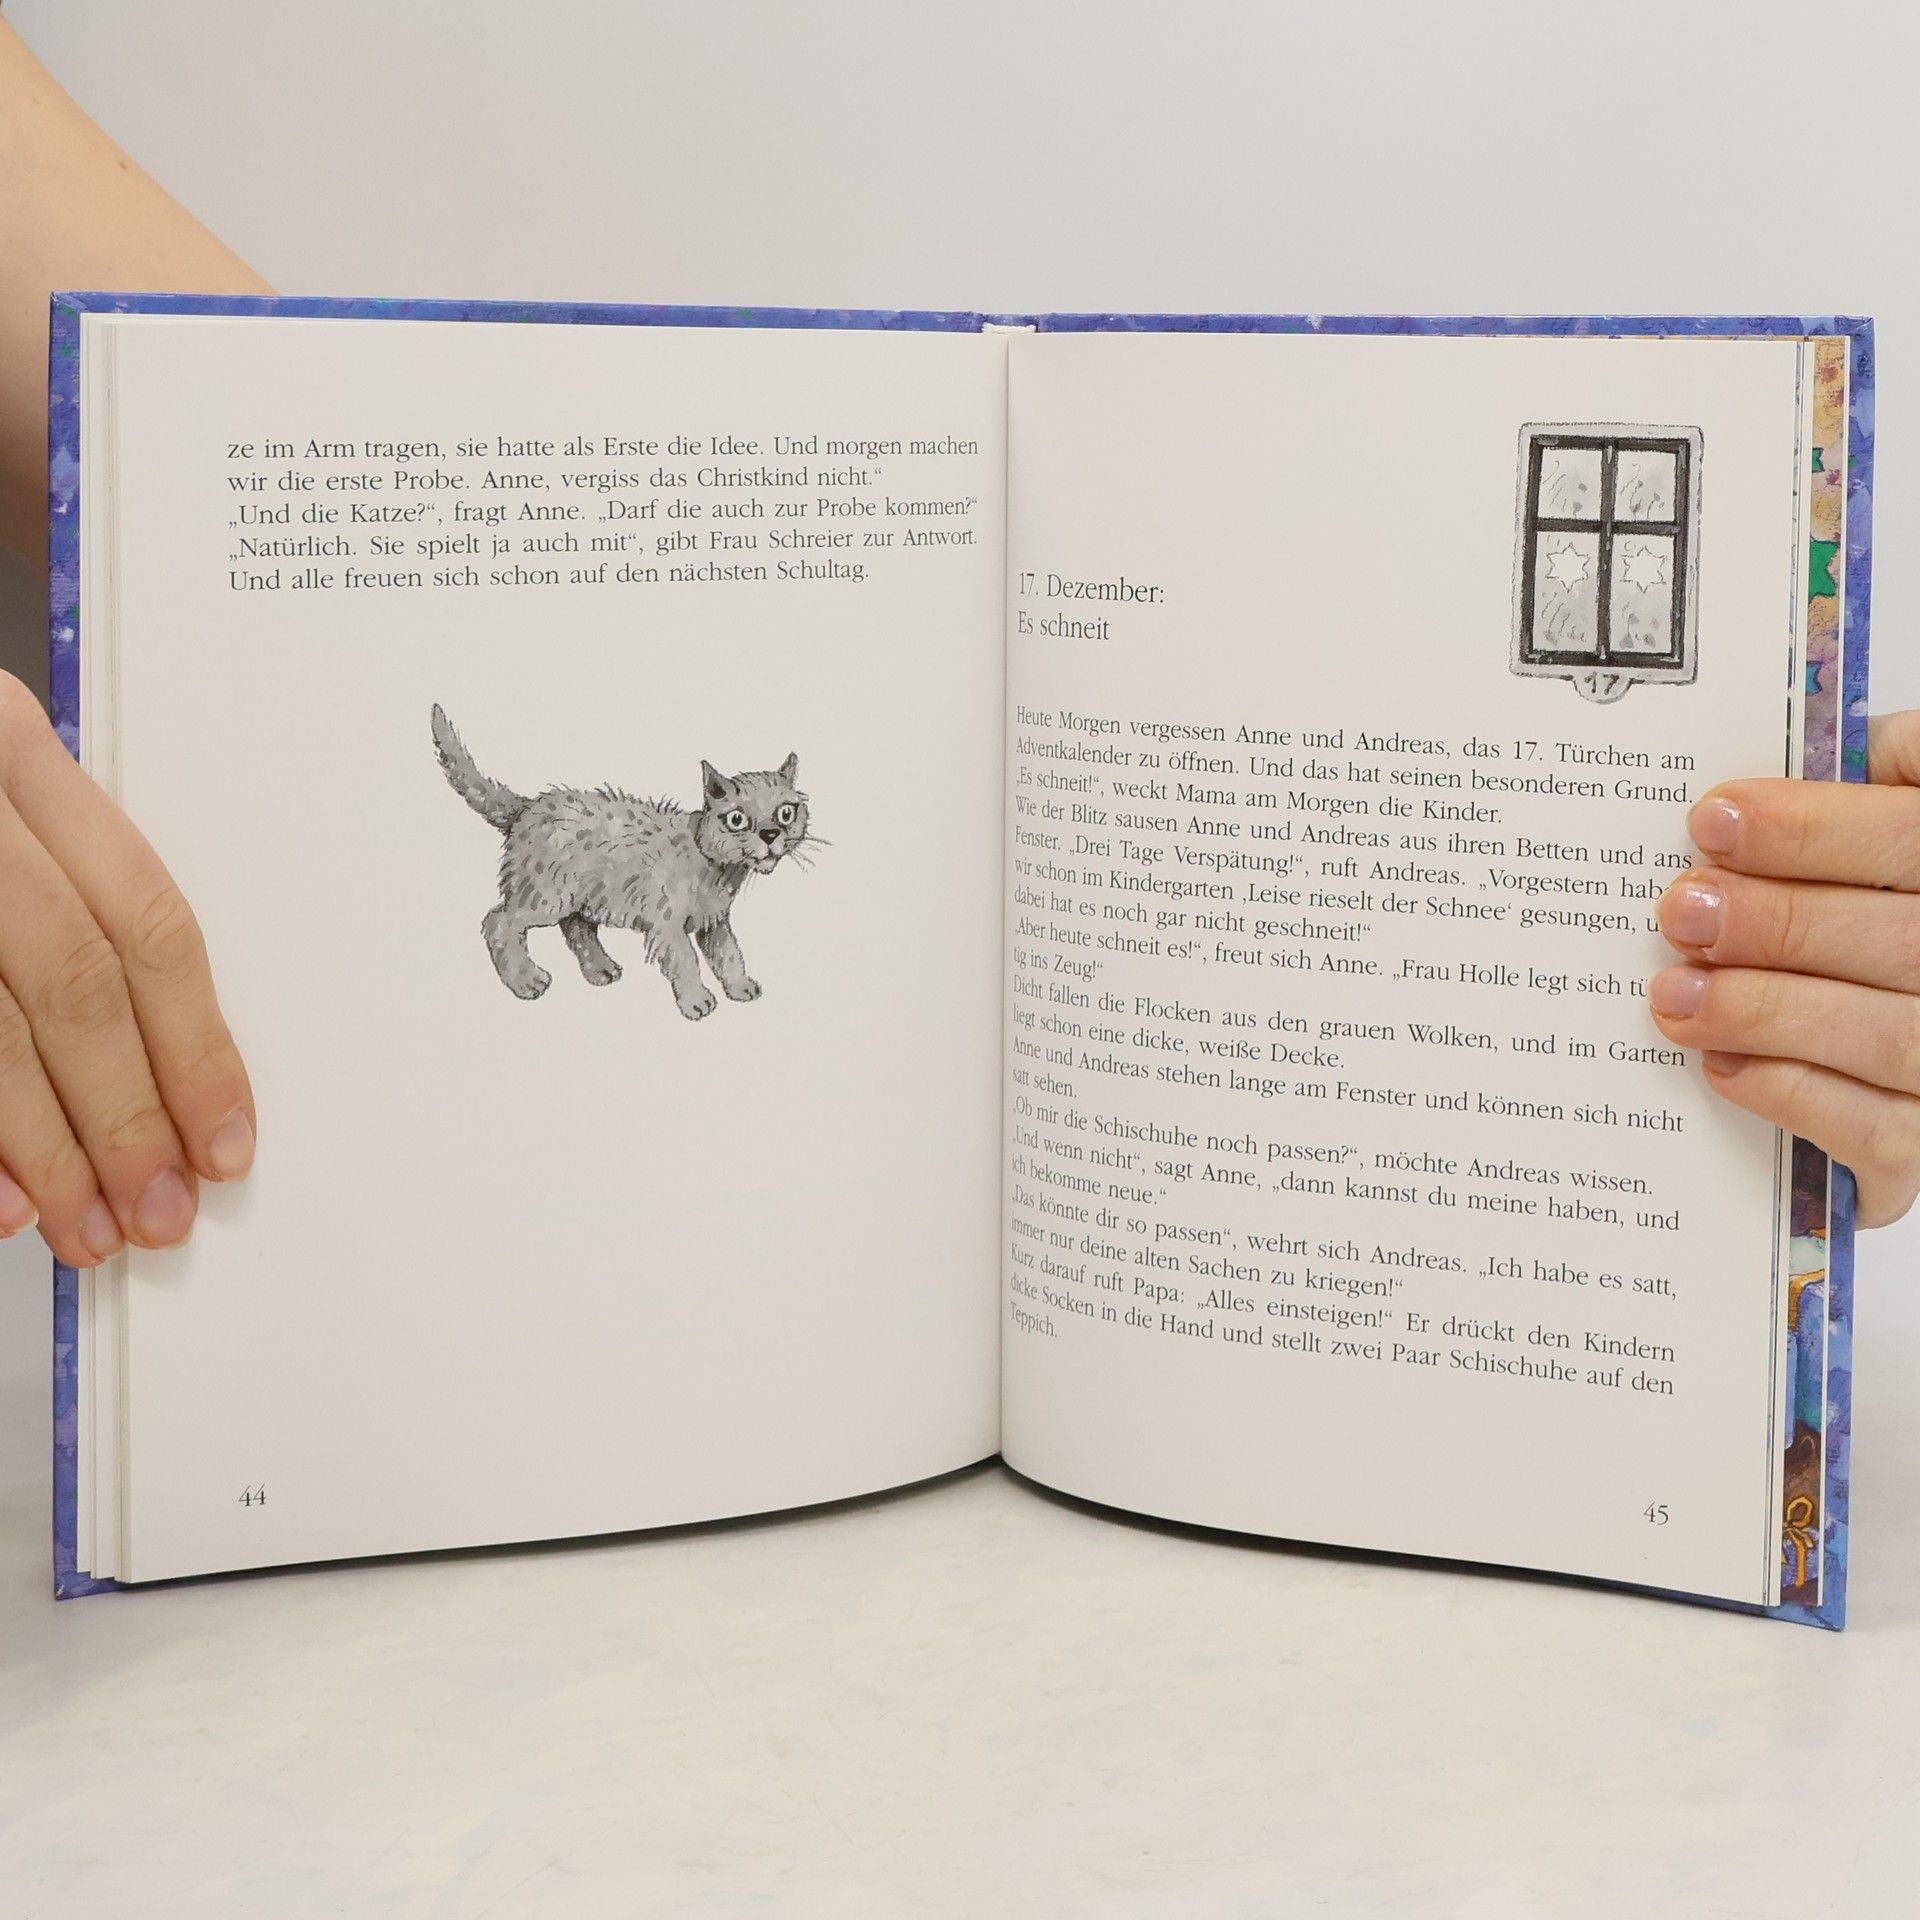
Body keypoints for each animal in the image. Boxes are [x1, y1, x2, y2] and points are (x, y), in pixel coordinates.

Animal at [430, 705, 809, 1019]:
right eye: (737, 819)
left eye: (786, 813)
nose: (771, 834)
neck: (717, 869)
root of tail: (528, 806)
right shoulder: (668, 926)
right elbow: (686, 961)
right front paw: (695, 1000)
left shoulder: (713, 922)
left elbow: (728, 954)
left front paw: (740, 985)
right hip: (545, 897)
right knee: (499, 922)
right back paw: (525, 980)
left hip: (578, 896)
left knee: (577, 928)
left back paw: (599, 968)